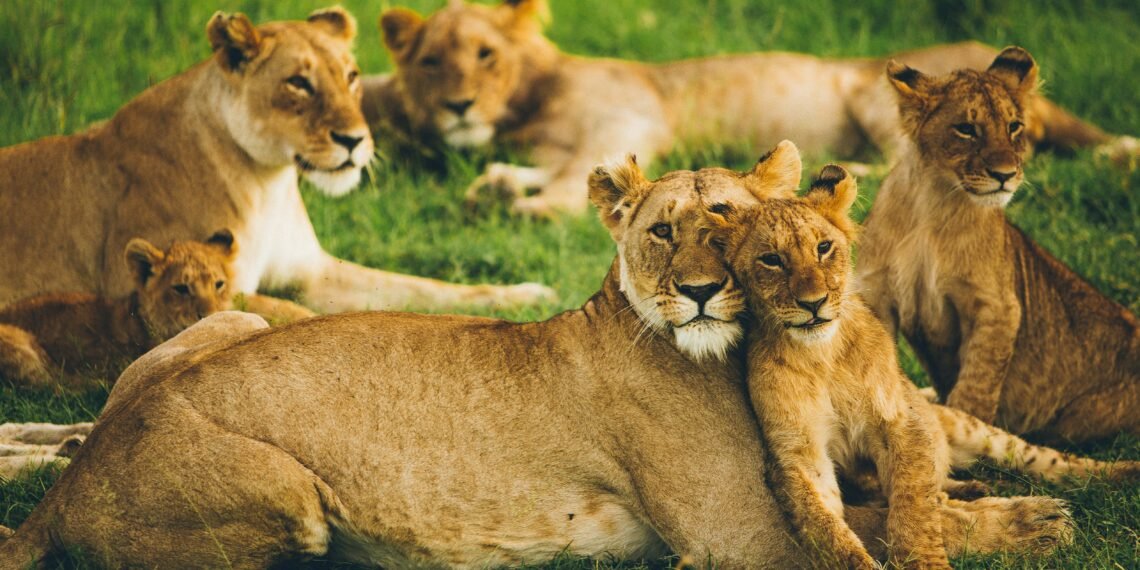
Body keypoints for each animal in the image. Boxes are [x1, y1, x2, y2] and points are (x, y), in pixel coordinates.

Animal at [0, 7, 554, 314]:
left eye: (351, 76)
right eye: (298, 83)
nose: (355, 140)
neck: (268, 182)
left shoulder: (314, 272)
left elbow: (424, 288)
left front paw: (526, 295)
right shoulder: (177, 285)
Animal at [0, 143, 1072, 568]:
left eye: (728, 222)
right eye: (664, 231)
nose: (698, 290)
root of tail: (71, 487)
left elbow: (897, 499)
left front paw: (997, 500)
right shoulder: (734, 540)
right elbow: (872, 527)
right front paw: (1033, 522)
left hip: (240, 324)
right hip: (291, 497)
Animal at [363, 0, 1137, 217]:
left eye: (485, 54)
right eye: (431, 62)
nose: (458, 104)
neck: (525, 109)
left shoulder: (628, 118)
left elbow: (578, 179)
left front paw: (526, 206)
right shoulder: (557, 146)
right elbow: (558, 171)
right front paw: (498, 183)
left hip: (874, 92)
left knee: (908, 163)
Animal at [711, 162, 1137, 569]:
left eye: (824, 247)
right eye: (771, 260)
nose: (813, 303)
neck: (821, 356)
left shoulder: (901, 420)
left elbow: (913, 507)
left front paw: (924, 560)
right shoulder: (799, 455)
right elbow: (827, 531)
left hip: (969, 426)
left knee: (1045, 459)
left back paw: (1121, 474)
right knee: (940, 491)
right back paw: (981, 494)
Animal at [856, 46, 1140, 444]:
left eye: (1014, 126)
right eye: (966, 129)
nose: (1005, 175)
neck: (933, 203)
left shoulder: (997, 305)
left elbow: (976, 385)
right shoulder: (877, 294)